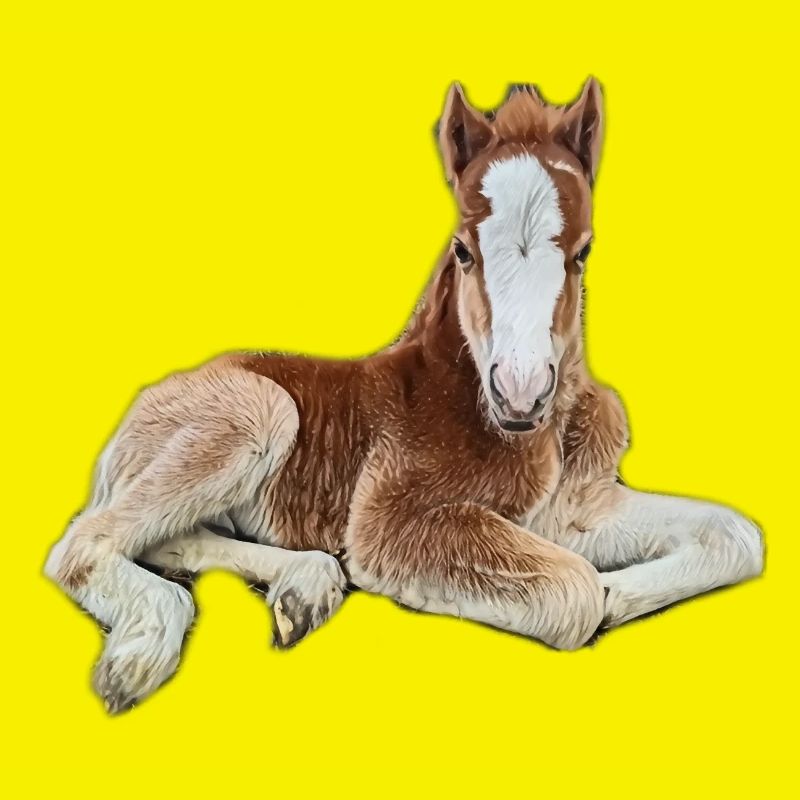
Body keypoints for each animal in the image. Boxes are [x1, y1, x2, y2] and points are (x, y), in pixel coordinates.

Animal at [45, 79, 764, 713]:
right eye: (464, 250)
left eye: (583, 252)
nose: (521, 396)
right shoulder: (390, 523)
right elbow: (574, 591)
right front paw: (601, 597)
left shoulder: (572, 511)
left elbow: (734, 534)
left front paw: (620, 593)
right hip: (258, 412)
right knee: (83, 543)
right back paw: (143, 649)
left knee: (169, 535)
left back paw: (305, 588)